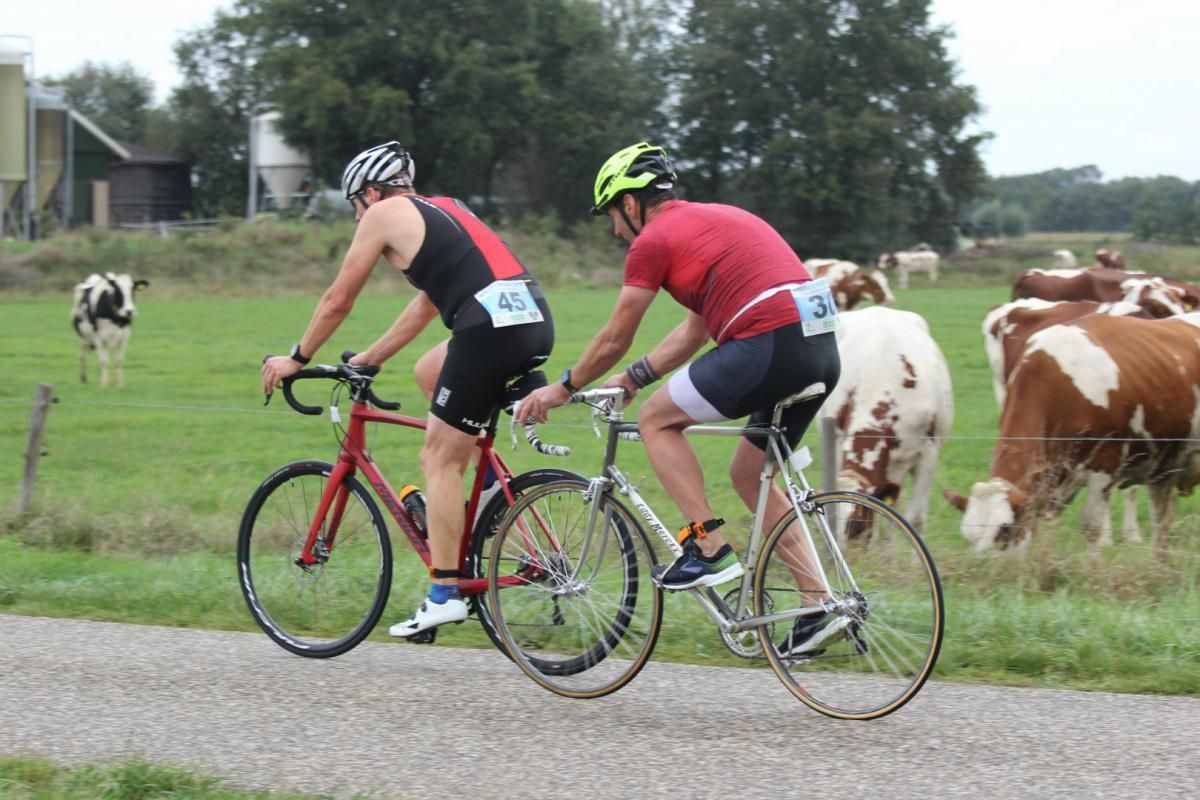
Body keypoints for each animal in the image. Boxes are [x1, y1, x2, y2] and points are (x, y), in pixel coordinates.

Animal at [946, 313, 1200, 557]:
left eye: (1004, 530)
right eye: (967, 536)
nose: (982, 571)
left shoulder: (1104, 466)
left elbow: (1092, 527)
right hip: (1163, 468)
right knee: (1162, 523)